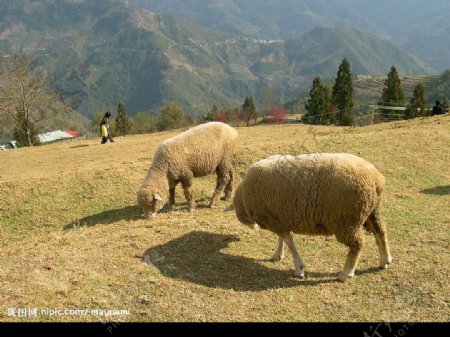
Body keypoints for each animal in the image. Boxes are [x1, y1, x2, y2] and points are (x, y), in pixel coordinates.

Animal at [234, 153, 392, 280]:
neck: (244, 196)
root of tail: (376, 179)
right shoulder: (278, 218)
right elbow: (282, 239)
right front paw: (278, 255)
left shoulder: (273, 220)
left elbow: (289, 241)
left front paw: (299, 269)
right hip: (373, 211)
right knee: (380, 232)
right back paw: (385, 260)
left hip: (347, 222)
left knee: (357, 244)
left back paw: (346, 273)